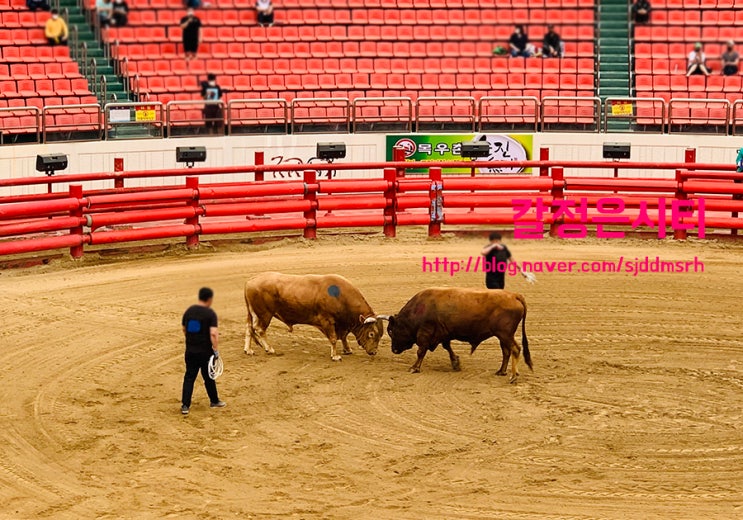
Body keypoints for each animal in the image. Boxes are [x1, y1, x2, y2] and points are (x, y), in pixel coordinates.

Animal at [247, 272, 386, 362]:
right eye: (371, 334)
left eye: (380, 335)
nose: (374, 352)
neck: (340, 296)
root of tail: (250, 280)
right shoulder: (327, 321)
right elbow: (334, 338)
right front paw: (335, 356)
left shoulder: (342, 324)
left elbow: (343, 337)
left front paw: (347, 350)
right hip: (264, 314)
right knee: (259, 330)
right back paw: (269, 349)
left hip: (253, 314)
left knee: (249, 329)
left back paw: (248, 350)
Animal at [386, 288, 532, 382]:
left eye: (391, 331)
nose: (393, 350)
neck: (418, 309)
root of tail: (514, 295)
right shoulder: (443, 333)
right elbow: (447, 347)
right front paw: (455, 362)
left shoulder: (425, 333)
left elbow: (421, 351)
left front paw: (414, 368)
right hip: (503, 336)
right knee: (506, 352)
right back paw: (501, 371)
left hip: (505, 334)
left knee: (515, 350)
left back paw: (513, 376)